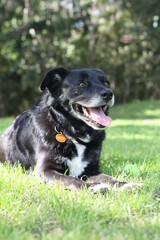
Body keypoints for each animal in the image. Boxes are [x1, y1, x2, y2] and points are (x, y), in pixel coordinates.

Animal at [0, 67, 139, 193]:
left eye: (106, 83)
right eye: (81, 84)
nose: (109, 94)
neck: (69, 131)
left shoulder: (91, 170)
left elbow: (108, 178)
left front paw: (124, 184)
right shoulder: (45, 171)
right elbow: (70, 179)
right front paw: (92, 187)